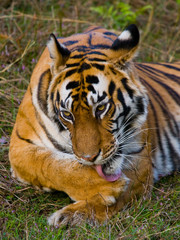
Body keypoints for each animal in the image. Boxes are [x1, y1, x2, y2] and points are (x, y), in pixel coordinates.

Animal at [9, 23, 179, 226]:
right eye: (67, 114)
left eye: (101, 108)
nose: (89, 158)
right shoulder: (20, 145)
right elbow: (52, 165)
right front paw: (106, 187)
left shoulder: (140, 160)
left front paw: (70, 215)